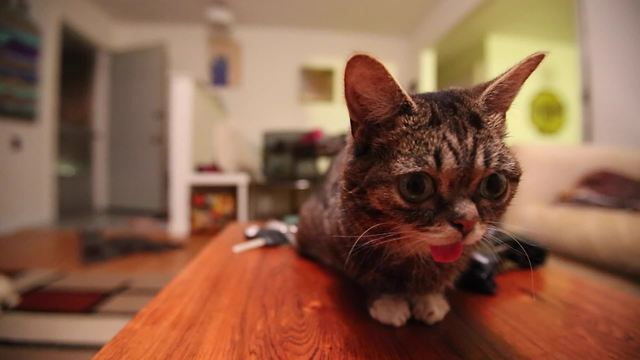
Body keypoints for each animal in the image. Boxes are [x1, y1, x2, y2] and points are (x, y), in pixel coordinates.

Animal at [298, 52, 544, 326]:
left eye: (494, 184)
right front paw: (388, 299)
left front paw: (428, 297)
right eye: (415, 185)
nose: (467, 222)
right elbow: (367, 272)